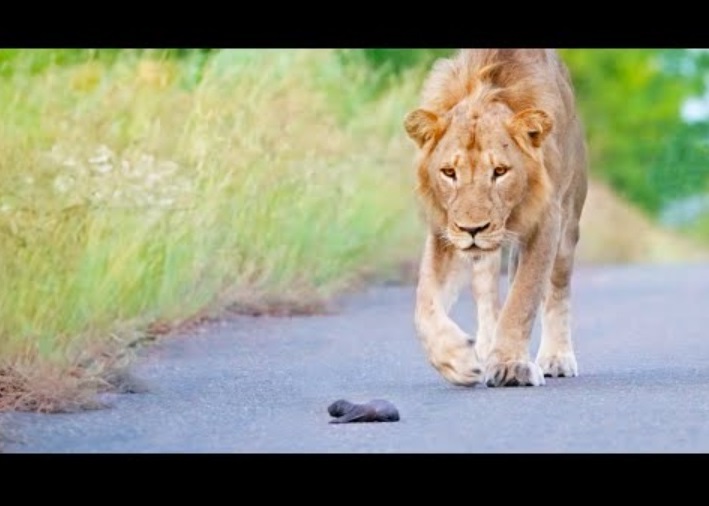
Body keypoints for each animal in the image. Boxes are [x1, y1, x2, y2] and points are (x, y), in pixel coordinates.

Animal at [402, 48, 588, 388]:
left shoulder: (547, 219)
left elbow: (523, 298)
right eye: (449, 172)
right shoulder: (445, 231)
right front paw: (456, 360)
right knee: (486, 293)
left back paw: (555, 357)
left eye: (500, 171)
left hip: (569, 224)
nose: (472, 229)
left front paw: (510, 365)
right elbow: (425, 304)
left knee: (556, 289)